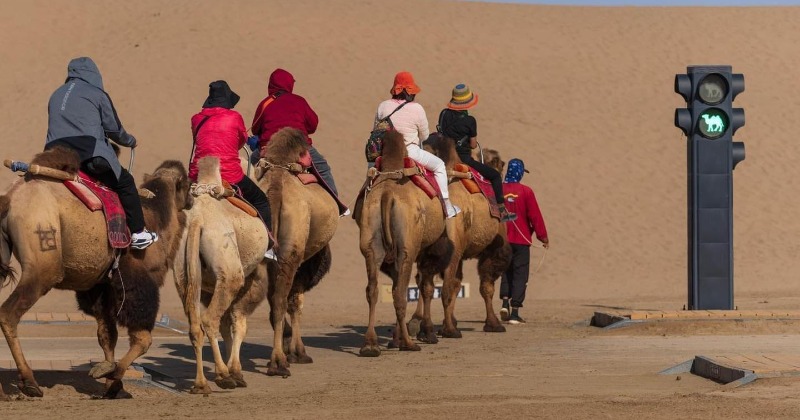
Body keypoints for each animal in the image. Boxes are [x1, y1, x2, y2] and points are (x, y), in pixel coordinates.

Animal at [0, 148, 192, 400]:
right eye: (188, 183)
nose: (192, 198)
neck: (156, 217)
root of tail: (9, 199)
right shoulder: (138, 280)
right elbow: (143, 339)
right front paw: (113, 376)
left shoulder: (102, 285)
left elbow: (106, 333)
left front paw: (110, 381)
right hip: (42, 266)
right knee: (8, 314)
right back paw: (30, 383)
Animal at [173, 157, 268, 394]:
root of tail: (197, 221)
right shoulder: (249, 278)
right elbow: (238, 323)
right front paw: (235, 371)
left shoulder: (208, 287)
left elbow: (228, 324)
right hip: (230, 271)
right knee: (209, 320)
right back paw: (224, 376)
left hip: (183, 273)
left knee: (196, 326)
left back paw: (201, 384)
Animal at [258, 128, 340, 378]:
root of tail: (275, 188)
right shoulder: (303, 261)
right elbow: (296, 302)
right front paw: (299, 353)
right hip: (291, 252)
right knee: (282, 299)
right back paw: (278, 363)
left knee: (274, 299)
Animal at [354, 130, 454, 354]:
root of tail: (387, 196)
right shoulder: (429, 249)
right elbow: (426, 287)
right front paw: (428, 333)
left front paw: (395, 339)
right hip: (406, 249)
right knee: (402, 293)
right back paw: (409, 344)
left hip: (372, 244)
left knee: (373, 290)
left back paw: (370, 345)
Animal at [418, 135, 512, 338]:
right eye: (500, 167)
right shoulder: (493, 248)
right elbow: (486, 287)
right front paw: (494, 324)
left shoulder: (460, 252)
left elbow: (457, 283)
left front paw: (452, 320)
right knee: (444, 288)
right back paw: (449, 330)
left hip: (427, 249)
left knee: (427, 286)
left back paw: (425, 329)